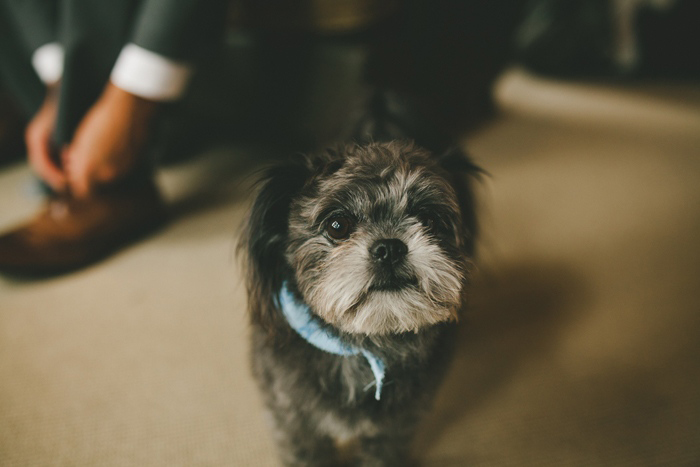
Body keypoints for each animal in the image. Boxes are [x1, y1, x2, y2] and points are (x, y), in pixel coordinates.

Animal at [242, 141, 482, 466]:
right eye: (337, 225)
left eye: (430, 220)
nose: (390, 248)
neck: (363, 346)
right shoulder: (294, 422)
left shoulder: (395, 428)